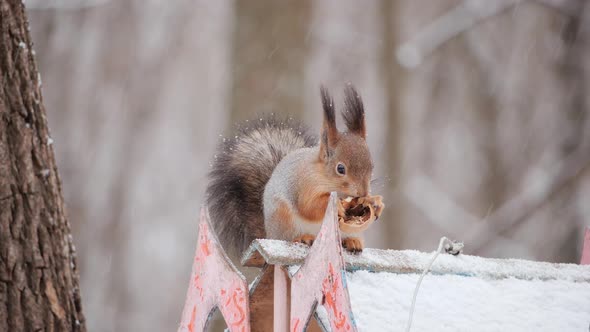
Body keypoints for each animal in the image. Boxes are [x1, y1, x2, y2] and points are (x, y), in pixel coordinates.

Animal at [207, 84, 384, 255]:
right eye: (340, 168)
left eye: (372, 165)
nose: (363, 192)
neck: (323, 177)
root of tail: (270, 234)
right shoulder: (303, 184)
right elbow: (309, 206)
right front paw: (335, 205)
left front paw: (375, 202)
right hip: (284, 219)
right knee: (290, 237)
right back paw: (303, 237)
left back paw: (352, 241)